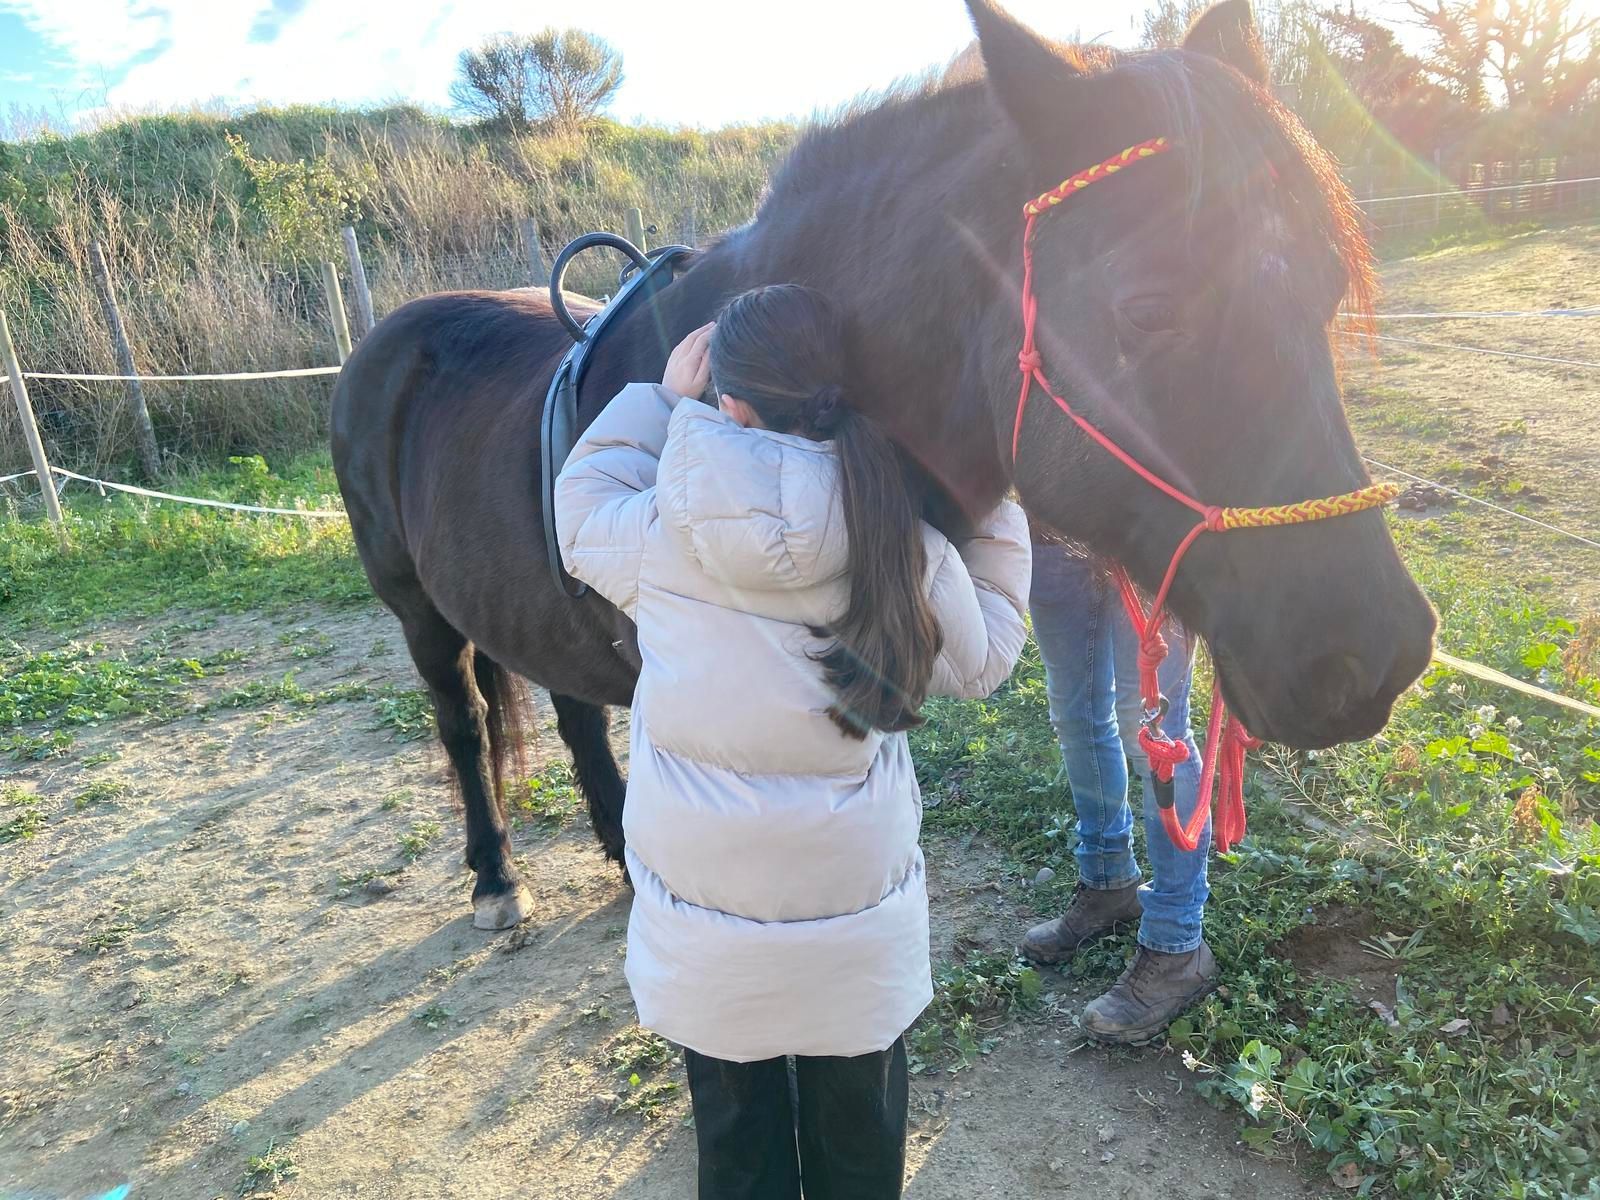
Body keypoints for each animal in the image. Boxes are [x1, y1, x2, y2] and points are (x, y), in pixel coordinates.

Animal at [331, 0, 1438, 930]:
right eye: (1148, 310)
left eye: (1326, 289)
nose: (1376, 651)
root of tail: (382, 342)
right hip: (418, 614)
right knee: (465, 723)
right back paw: (494, 877)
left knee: (568, 713)